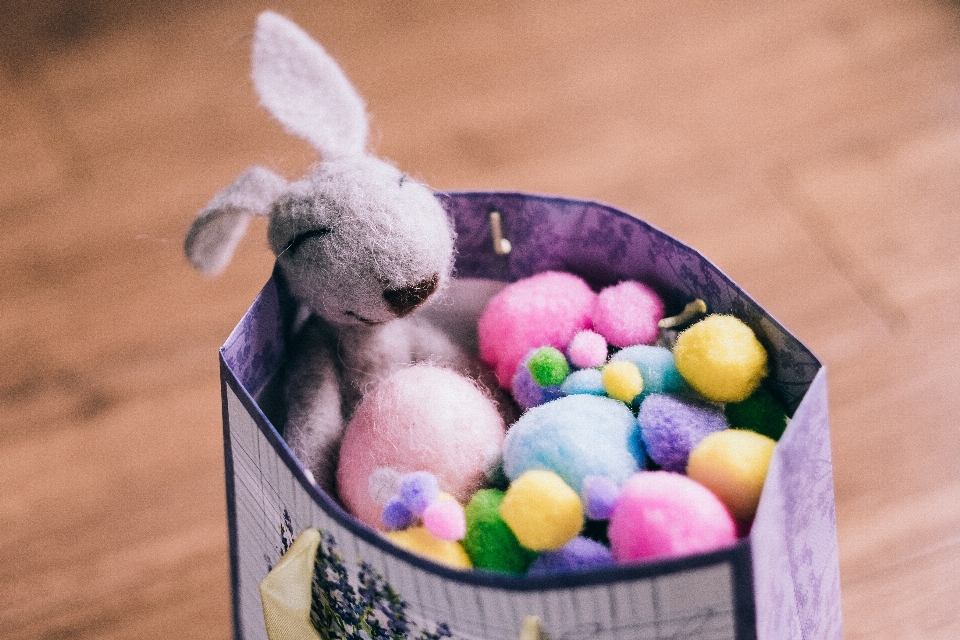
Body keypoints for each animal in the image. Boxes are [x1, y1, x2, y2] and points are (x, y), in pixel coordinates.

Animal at [185, 11, 476, 490]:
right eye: (306, 239)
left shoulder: (420, 332)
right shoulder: (313, 355)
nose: (414, 288)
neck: (373, 341)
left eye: (401, 182)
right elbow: (313, 422)